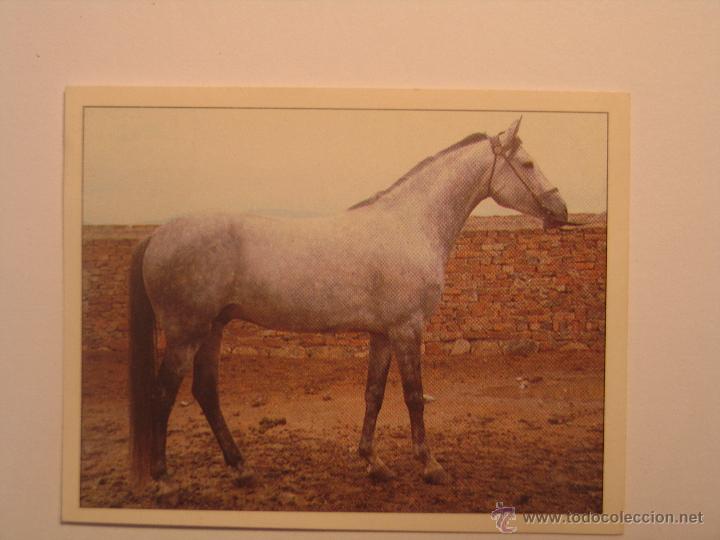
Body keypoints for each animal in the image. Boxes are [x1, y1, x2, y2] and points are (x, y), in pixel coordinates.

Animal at [128, 117, 569, 489]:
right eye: (527, 163)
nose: (560, 211)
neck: (410, 226)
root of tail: (158, 234)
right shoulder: (408, 329)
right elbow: (413, 396)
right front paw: (430, 466)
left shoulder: (383, 334)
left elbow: (374, 394)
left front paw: (374, 462)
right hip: (186, 335)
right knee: (164, 395)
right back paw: (163, 480)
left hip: (213, 329)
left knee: (205, 392)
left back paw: (241, 469)